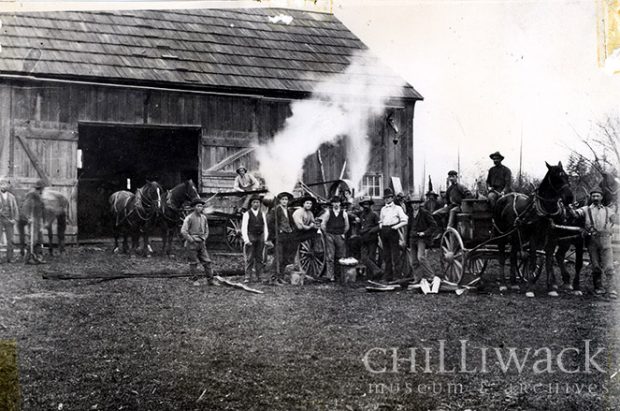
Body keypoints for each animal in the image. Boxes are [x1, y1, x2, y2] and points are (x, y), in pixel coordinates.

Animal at [494, 161, 572, 296]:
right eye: (555, 178)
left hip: (515, 237)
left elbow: (548, 262)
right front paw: (530, 288)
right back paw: (503, 284)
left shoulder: (552, 239)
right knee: (502, 258)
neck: (545, 213)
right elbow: (533, 261)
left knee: (513, 257)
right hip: (501, 236)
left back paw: (514, 283)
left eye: (566, 176)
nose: (570, 197)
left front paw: (551, 288)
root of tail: (502, 198)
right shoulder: (533, 238)